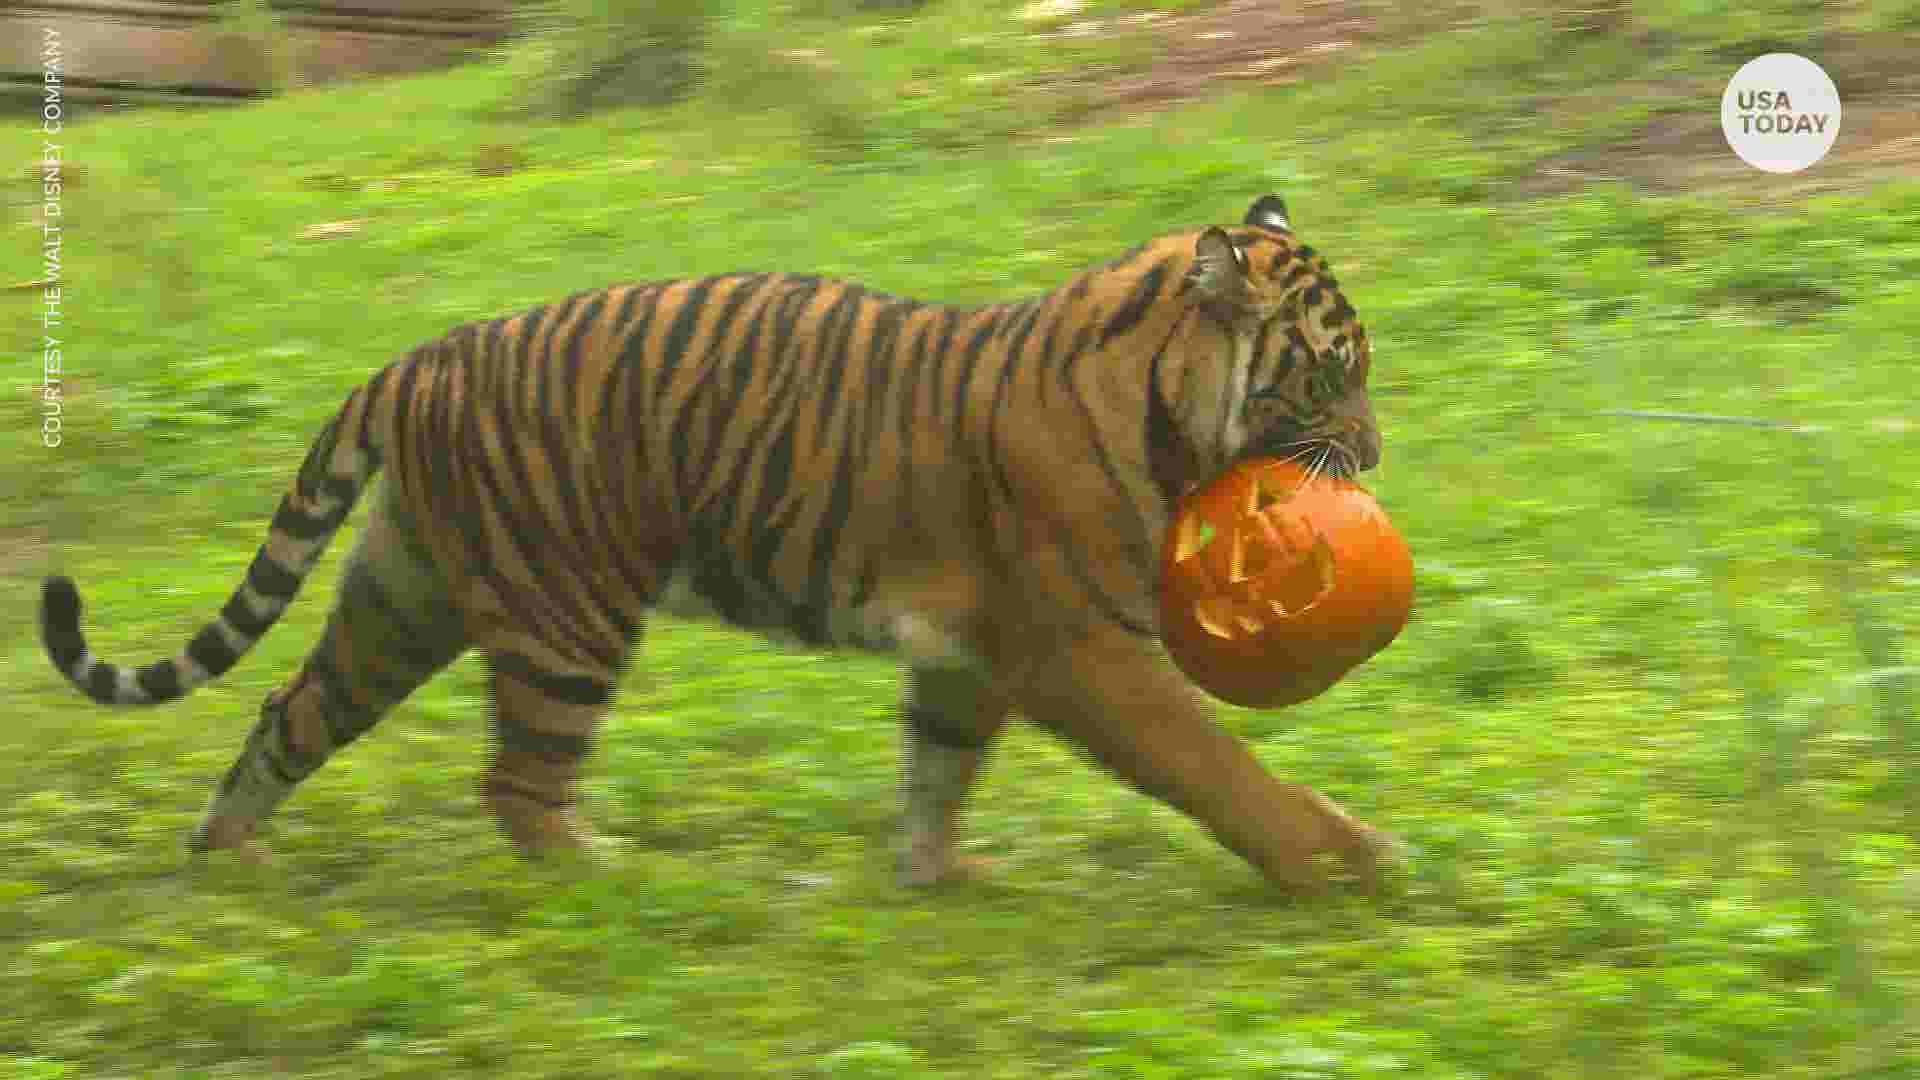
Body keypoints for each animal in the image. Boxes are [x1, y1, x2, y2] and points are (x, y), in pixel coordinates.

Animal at [41, 193, 1397, 891]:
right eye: (1335, 370)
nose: (1377, 452)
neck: (1161, 396)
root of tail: (421, 358)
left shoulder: (968, 651)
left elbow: (938, 764)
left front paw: (934, 879)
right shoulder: (1083, 649)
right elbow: (1215, 764)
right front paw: (1342, 858)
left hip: (403, 596)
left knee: (289, 713)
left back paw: (223, 859)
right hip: (564, 616)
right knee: (516, 782)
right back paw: (603, 876)